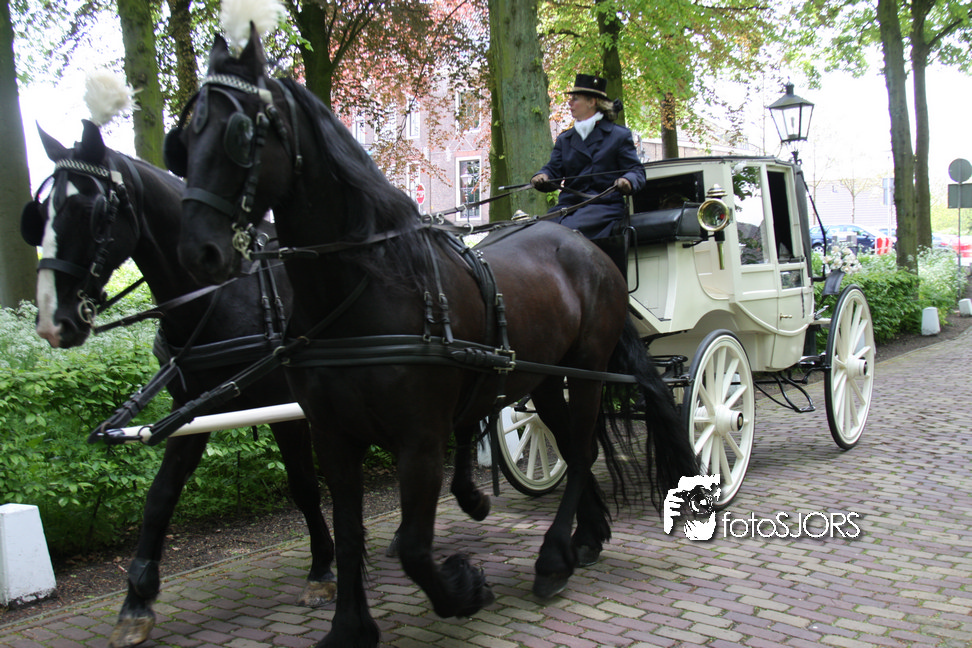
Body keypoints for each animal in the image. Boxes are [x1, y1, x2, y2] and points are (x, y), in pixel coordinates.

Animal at [20, 120, 338, 648]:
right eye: (39, 215)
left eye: (90, 210)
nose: (51, 322)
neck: (221, 293)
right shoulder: (193, 408)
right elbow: (161, 495)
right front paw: (136, 601)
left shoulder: (283, 405)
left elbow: (303, 486)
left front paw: (322, 572)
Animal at [168, 27, 698, 648]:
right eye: (185, 136)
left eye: (240, 131)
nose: (197, 251)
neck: (366, 287)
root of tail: (591, 249)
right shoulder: (332, 435)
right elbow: (350, 533)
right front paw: (349, 627)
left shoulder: (419, 438)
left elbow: (415, 549)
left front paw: (464, 590)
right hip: (543, 378)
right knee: (571, 447)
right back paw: (583, 540)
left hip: (586, 369)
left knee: (584, 448)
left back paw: (551, 560)